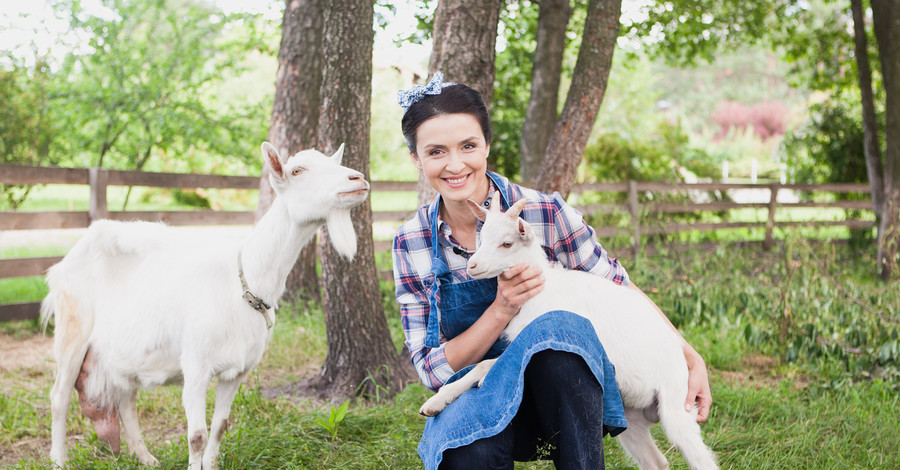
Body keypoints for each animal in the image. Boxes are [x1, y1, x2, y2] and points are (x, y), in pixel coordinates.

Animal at [44, 141, 368, 468]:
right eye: (298, 170)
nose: (358, 179)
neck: (244, 283)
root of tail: (64, 262)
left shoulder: (238, 371)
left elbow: (220, 426)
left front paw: (211, 463)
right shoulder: (196, 366)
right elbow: (197, 435)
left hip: (121, 351)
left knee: (126, 399)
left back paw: (146, 457)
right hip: (72, 330)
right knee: (59, 396)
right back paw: (59, 459)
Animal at [418, 193, 720, 470]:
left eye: (507, 243)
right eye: (480, 239)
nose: (472, 266)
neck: (543, 289)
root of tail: (680, 357)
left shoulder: (533, 339)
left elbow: (487, 365)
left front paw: (454, 392)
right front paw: (437, 402)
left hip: (676, 405)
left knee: (702, 458)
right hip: (631, 417)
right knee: (657, 462)